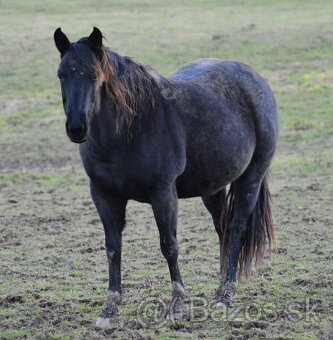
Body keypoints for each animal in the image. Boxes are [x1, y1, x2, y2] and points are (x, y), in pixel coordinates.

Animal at [53, 27, 278, 326]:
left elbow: (169, 246)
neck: (128, 131)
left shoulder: (163, 194)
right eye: (61, 74)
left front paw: (176, 305)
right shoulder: (103, 195)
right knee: (223, 230)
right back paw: (219, 288)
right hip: (212, 188)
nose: (77, 128)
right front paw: (109, 308)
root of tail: (254, 79)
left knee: (237, 228)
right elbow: (113, 248)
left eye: (93, 76)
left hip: (251, 176)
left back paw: (225, 295)